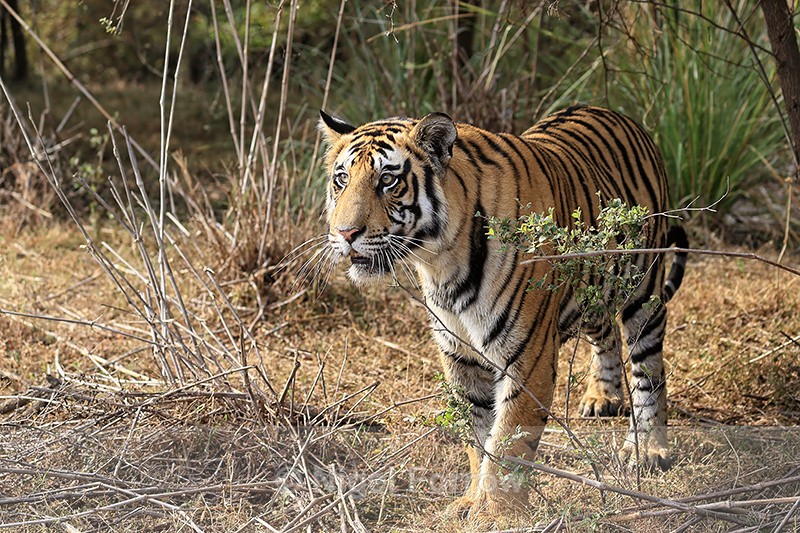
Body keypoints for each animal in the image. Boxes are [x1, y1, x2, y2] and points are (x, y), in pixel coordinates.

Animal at [318, 105, 688, 518]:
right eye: (341, 180)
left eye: (387, 180)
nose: (345, 233)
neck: (441, 261)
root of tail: (616, 112)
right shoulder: (460, 356)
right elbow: (478, 438)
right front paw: (471, 500)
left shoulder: (528, 356)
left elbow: (509, 438)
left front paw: (495, 512)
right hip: (595, 289)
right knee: (604, 332)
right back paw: (601, 397)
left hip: (644, 291)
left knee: (649, 368)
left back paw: (648, 450)